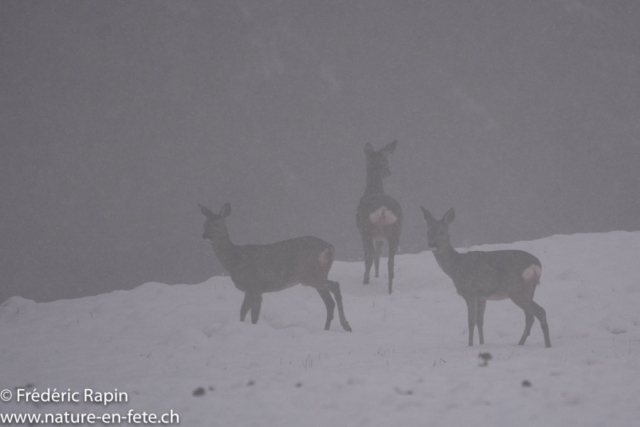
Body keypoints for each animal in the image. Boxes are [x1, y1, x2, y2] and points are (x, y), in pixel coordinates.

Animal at [199, 202, 350, 332]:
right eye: (205, 224)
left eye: (217, 224)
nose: (205, 235)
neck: (234, 260)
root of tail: (330, 247)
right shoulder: (248, 290)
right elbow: (242, 311)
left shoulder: (256, 286)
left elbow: (254, 315)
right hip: (317, 276)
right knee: (329, 302)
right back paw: (327, 329)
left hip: (311, 275)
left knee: (335, 286)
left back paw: (346, 325)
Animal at [356, 140, 404, 294]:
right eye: (386, 161)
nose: (389, 172)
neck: (373, 189)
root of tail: (383, 209)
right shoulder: (380, 238)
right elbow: (378, 255)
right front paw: (377, 276)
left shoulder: (362, 231)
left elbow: (370, 255)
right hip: (396, 230)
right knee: (390, 260)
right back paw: (390, 290)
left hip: (367, 229)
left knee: (370, 255)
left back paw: (365, 281)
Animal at [420, 208, 552, 352]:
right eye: (428, 231)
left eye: (441, 231)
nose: (432, 244)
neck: (456, 267)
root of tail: (536, 265)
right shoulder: (482, 297)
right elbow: (480, 321)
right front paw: (482, 344)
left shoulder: (470, 293)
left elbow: (471, 321)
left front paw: (470, 345)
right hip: (529, 290)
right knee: (530, 317)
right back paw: (521, 344)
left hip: (516, 290)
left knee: (540, 311)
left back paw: (547, 345)